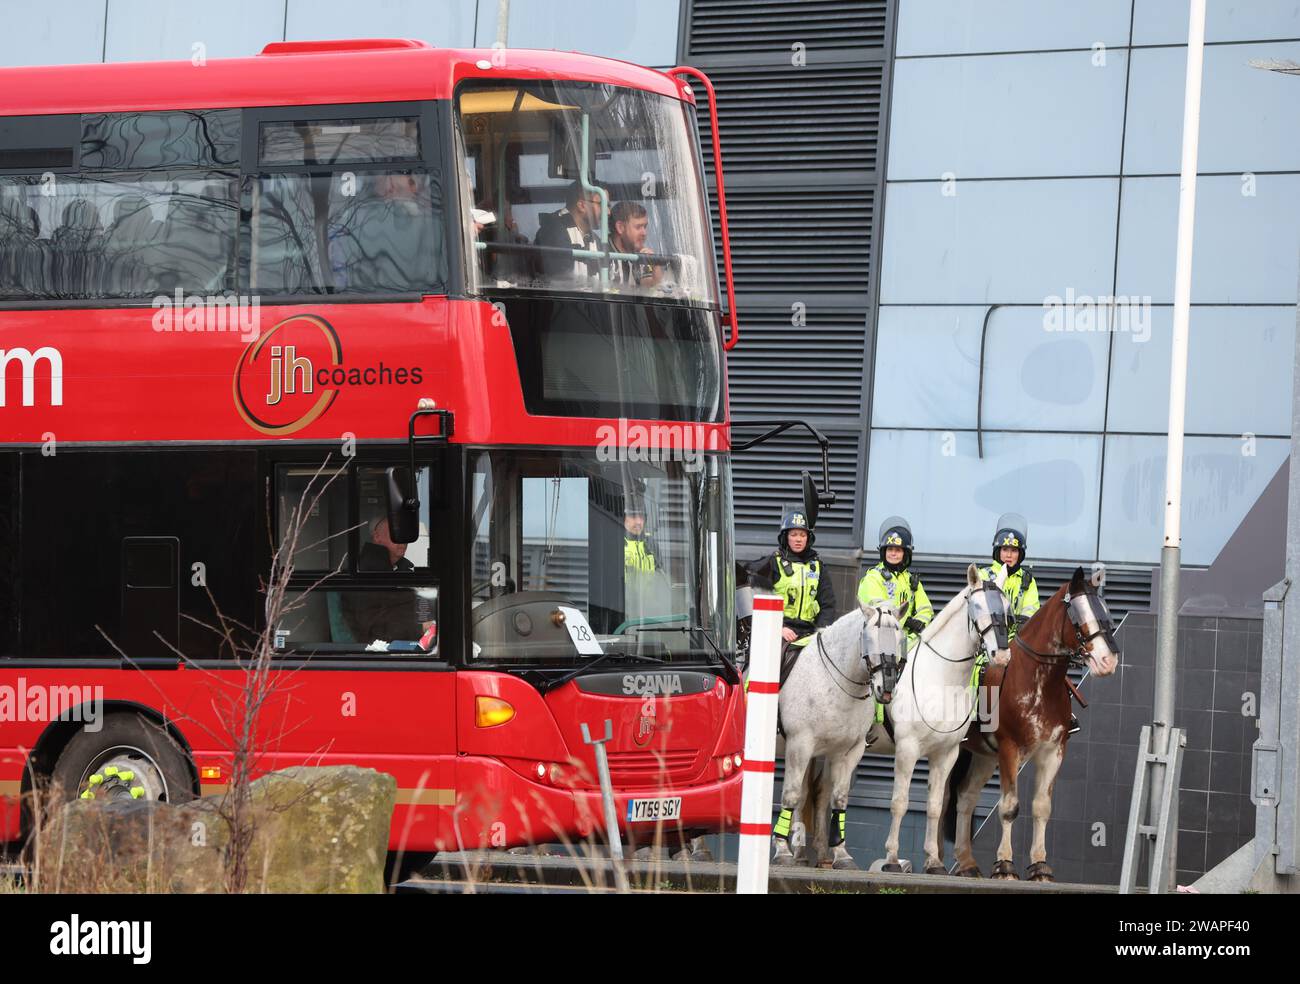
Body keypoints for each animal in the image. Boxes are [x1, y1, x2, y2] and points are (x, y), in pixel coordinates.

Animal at [769, 597, 904, 868]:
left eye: (899, 636)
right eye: (868, 636)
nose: (887, 688)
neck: (833, 681)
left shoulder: (848, 750)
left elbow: (838, 798)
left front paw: (841, 854)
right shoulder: (799, 745)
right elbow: (791, 795)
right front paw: (782, 850)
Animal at [951, 564, 1123, 878]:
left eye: (1106, 612)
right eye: (1080, 616)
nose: (1108, 661)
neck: (1037, 680)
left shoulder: (1053, 751)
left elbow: (1042, 807)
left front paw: (1040, 866)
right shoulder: (1009, 749)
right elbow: (1009, 806)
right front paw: (1004, 865)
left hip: (981, 755)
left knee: (965, 796)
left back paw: (965, 864)